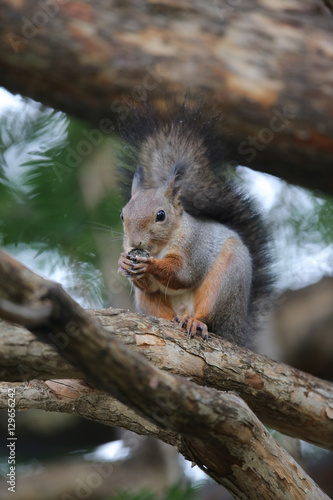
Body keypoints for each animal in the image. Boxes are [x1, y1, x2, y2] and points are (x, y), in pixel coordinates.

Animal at [115, 97, 272, 348]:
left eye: (161, 215)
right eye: (123, 215)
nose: (135, 243)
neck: (160, 247)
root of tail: (236, 330)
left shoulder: (195, 246)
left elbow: (183, 274)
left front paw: (152, 265)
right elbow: (148, 284)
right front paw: (123, 262)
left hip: (225, 282)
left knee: (208, 314)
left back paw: (194, 321)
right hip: (150, 303)